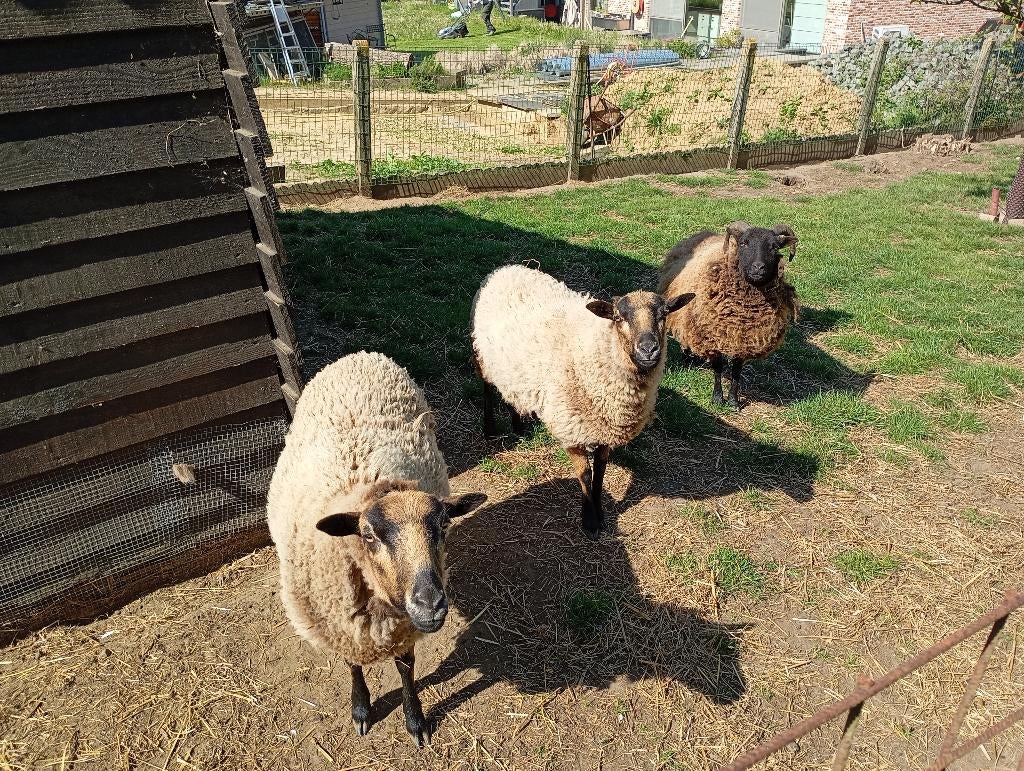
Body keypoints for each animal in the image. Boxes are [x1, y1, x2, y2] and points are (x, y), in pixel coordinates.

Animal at [267, 351, 486, 748]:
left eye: (443, 526)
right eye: (368, 535)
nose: (430, 604)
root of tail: (358, 354)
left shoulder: (405, 628)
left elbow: (406, 668)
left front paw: (415, 720)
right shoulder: (338, 626)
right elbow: (352, 666)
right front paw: (361, 709)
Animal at [471, 265, 693, 539]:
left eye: (664, 314)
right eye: (618, 317)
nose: (648, 349)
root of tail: (508, 268)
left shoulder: (606, 428)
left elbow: (600, 473)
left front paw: (601, 513)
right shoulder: (572, 428)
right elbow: (586, 475)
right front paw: (589, 521)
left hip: (512, 369)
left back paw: (518, 427)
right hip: (482, 355)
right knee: (487, 389)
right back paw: (489, 429)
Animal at [658, 221, 799, 409]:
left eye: (774, 247)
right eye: (744, 243)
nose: (758, 267)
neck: (744, 312)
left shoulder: (744, 341)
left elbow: (736, 371)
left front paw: (733, 400)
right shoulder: (712, 337)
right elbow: (718, 367)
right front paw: (717, 399)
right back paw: (687, 358)